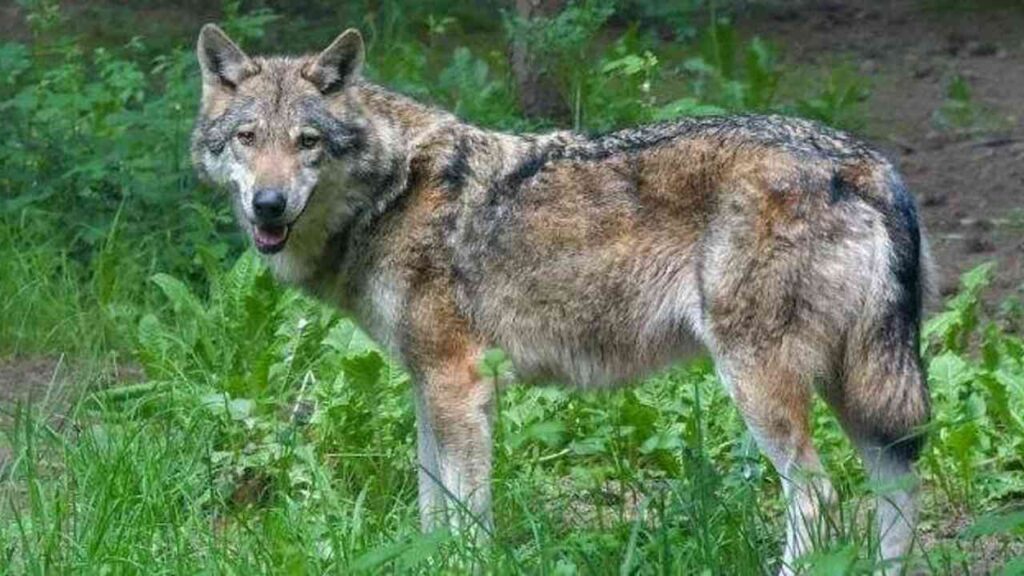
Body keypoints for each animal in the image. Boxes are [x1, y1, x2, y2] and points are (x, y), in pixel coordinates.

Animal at [192, 24, 932, 574]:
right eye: (247, 139)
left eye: (308, 142)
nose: (268, 204)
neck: (394, 191)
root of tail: (865, 163)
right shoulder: (428, 386)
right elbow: (432, 508)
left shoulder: (459, 384)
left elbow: (467, 518)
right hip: (858, 389)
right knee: (896, 490)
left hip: (763, 384)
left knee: (819, 497)